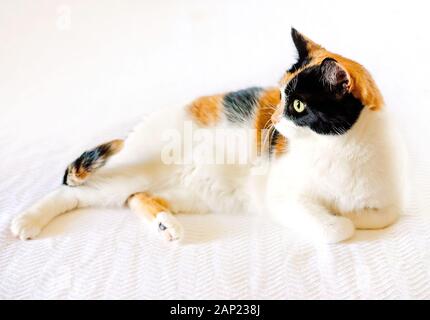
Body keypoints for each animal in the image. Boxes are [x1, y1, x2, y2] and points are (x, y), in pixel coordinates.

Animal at [10, 30, 406, 244]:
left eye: (296, 104)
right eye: (279, 96)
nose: (274, 119)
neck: (339, 150)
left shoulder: (391, 199)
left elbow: (383, 215)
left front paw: (352, 214)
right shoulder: (281, 196)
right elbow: (337, 229)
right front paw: (340, 220)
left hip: (189, 193)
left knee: (134, 197)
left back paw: (166, 225)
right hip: (133, 164)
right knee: (72, 192)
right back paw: (26, 222)